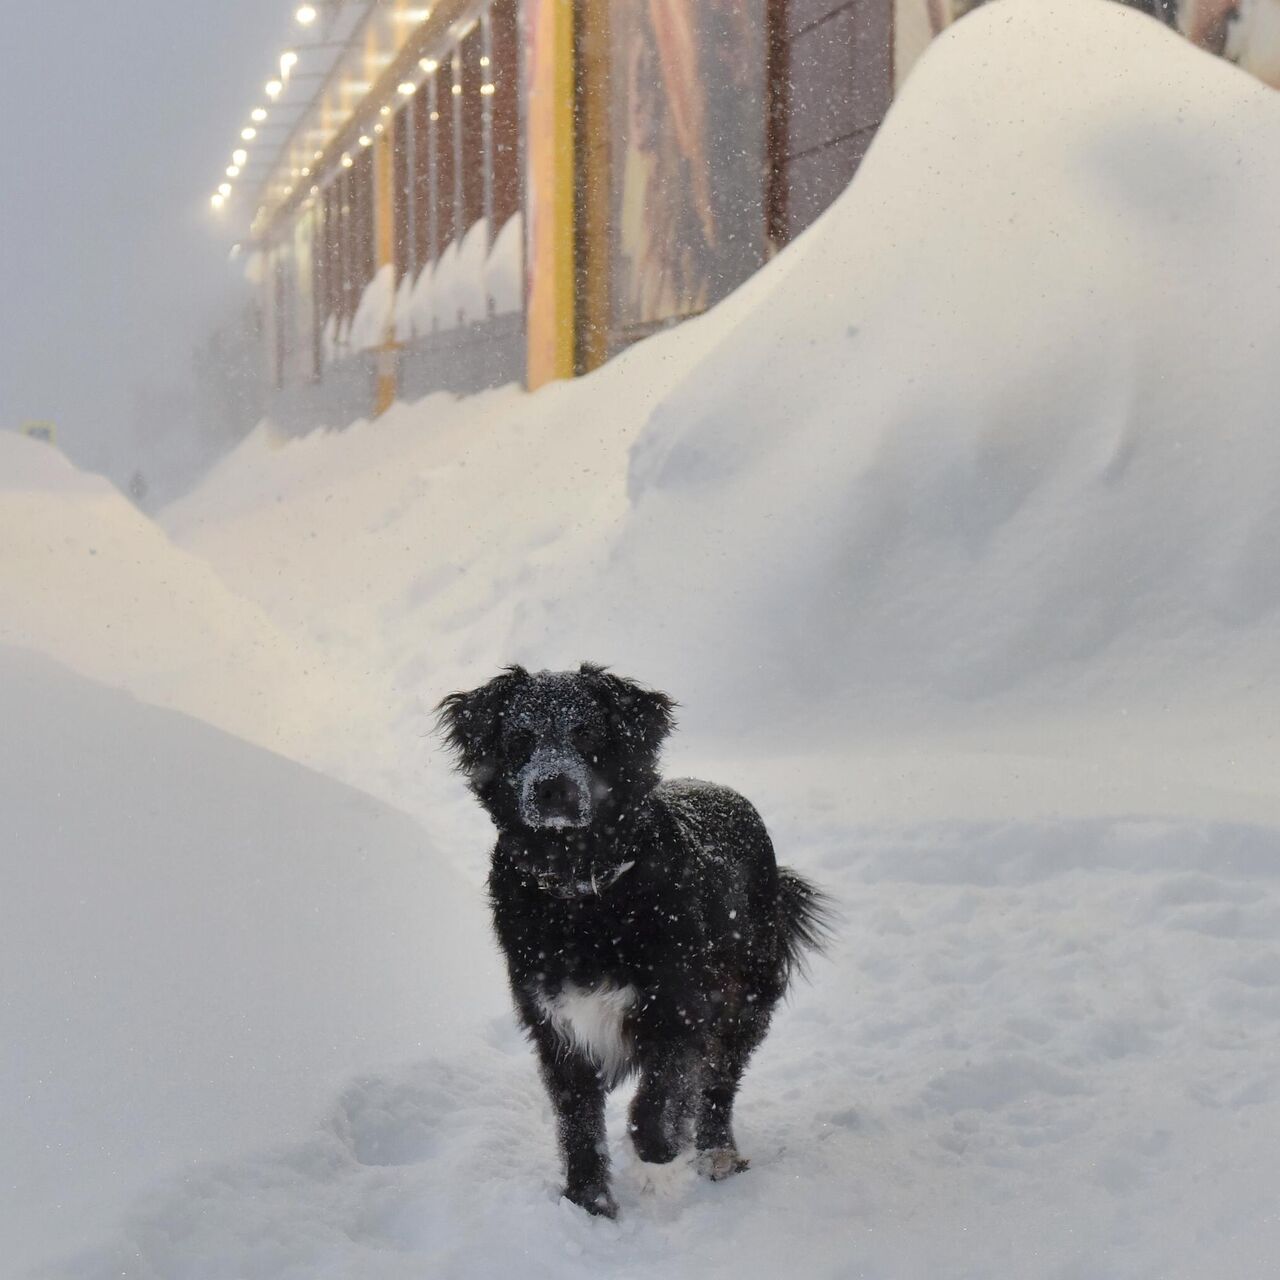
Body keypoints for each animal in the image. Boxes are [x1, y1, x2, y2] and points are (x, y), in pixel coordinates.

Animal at [440, 665, 829, 1213]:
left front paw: (659, 1167)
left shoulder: (680, 1010)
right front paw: (588, 1203)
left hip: (746, 999)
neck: (581, 889)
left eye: (586, 733)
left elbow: (657, 1103)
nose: (551, 788)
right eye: (519, 740)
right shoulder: (555, 1026)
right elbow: (578, 1124)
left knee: (720, 1085)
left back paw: (717, 1154)